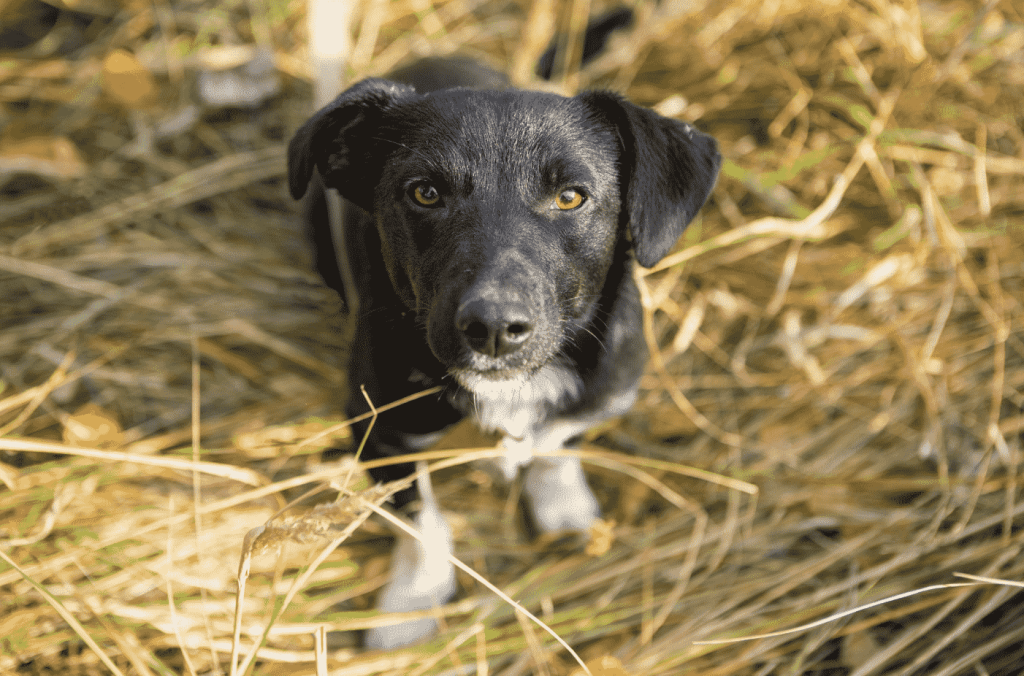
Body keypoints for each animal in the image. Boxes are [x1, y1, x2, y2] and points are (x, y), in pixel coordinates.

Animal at [288, 43, 720, 651]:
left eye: (570, 196)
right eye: (425, 192)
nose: (493, 327)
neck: (516, 388)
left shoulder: (602, 392)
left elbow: (557, 442)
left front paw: (563, 506)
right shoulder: (379, 431)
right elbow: (420, 522)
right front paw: (410, 605)